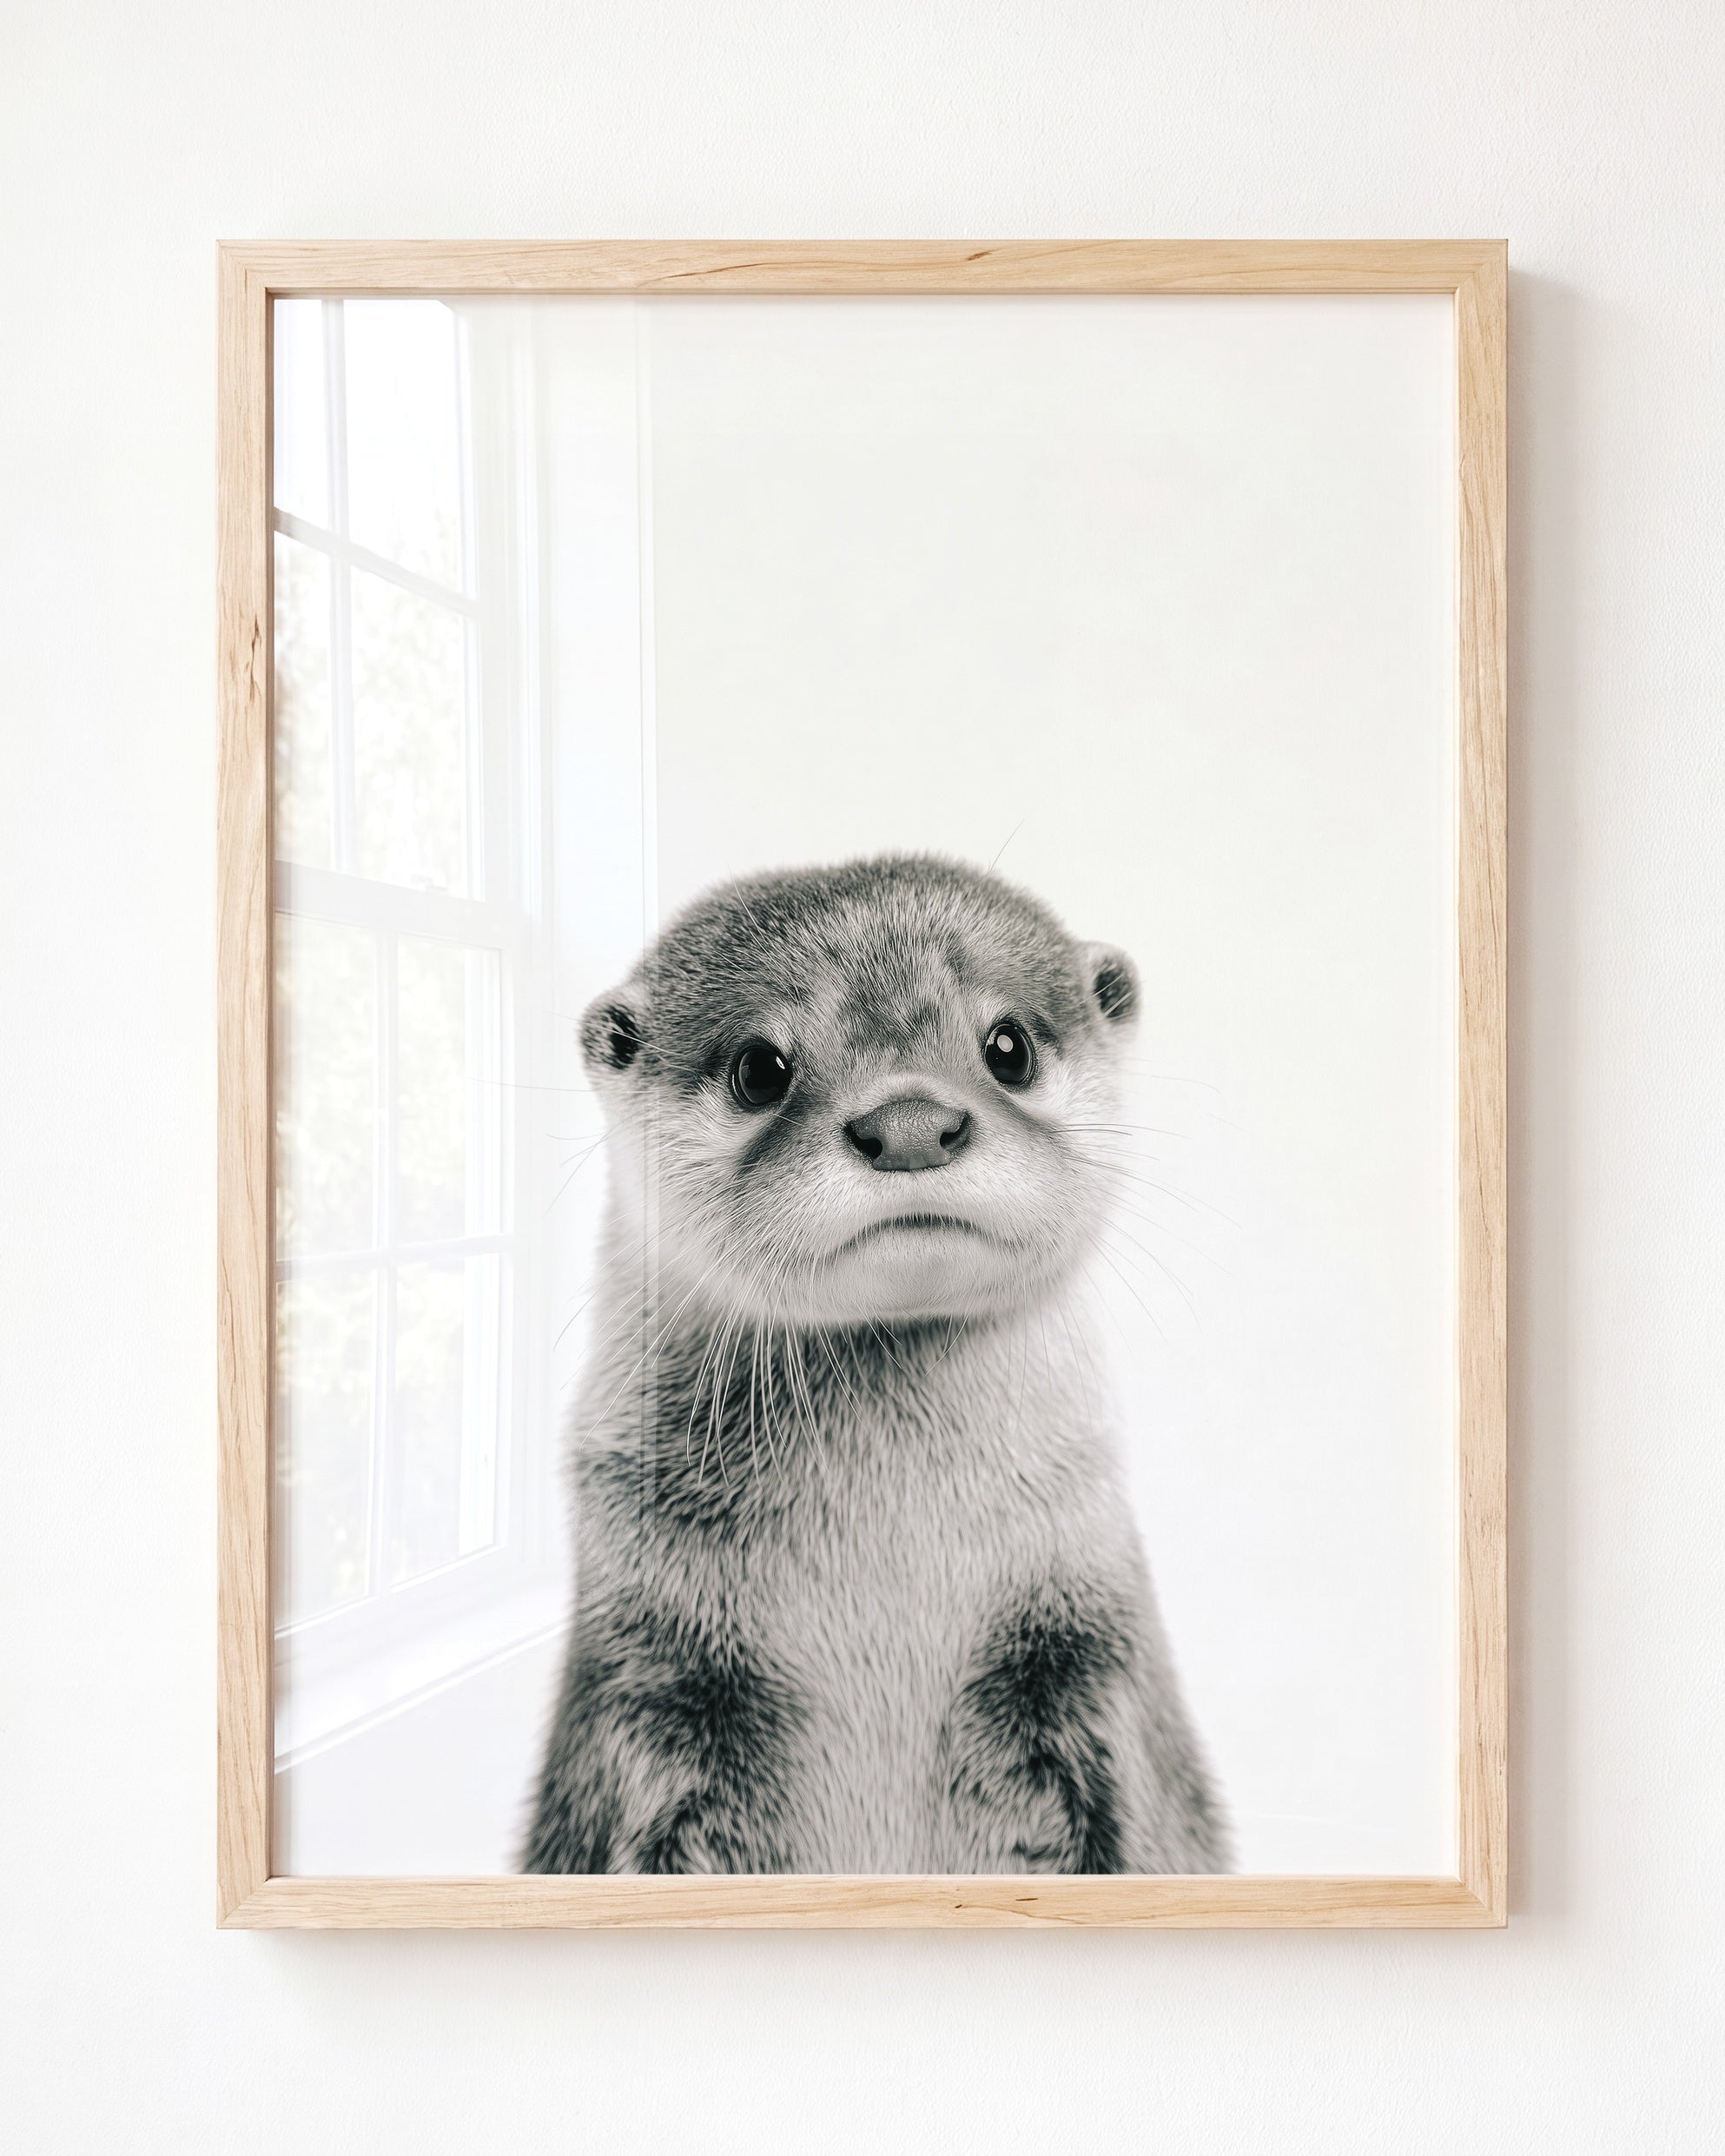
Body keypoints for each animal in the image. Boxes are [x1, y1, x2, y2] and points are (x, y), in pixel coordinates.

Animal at [523, 853, 1227, 1875]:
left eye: (1008, 1045)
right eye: (760, 1068)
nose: (910, 1123)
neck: (888, 1563)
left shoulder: (1099, 1666)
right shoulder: (641, 1680)